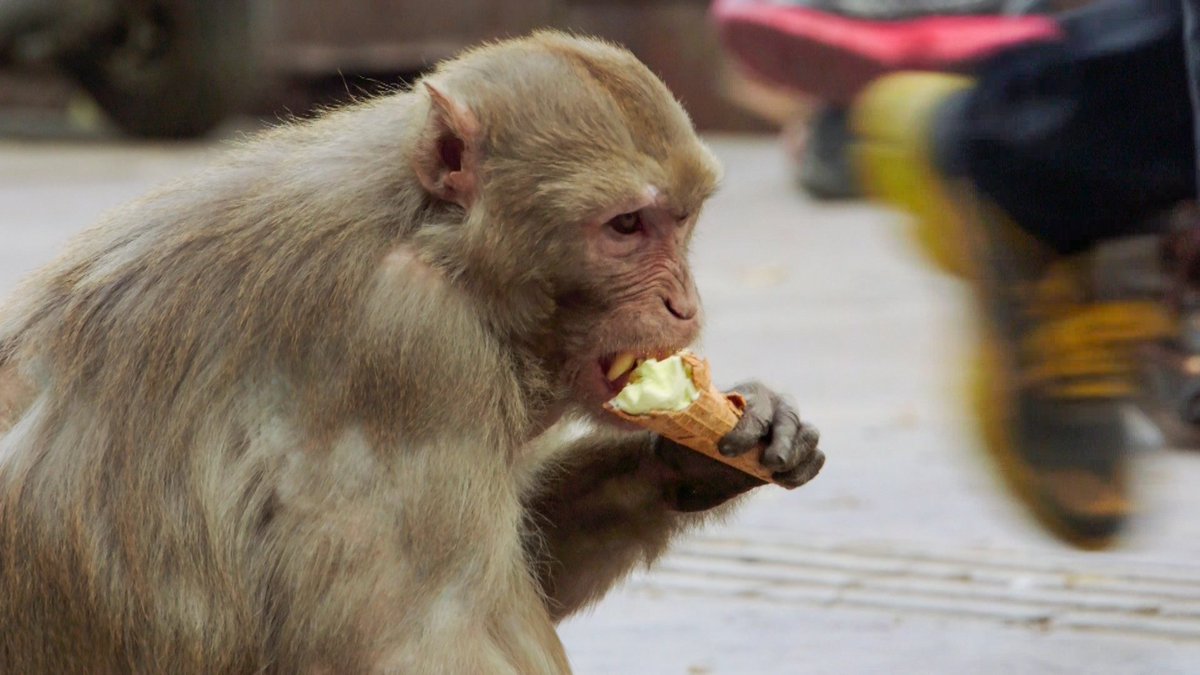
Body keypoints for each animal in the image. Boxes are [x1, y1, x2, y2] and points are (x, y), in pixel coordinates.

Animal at [0, 31, 824, 674]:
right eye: (626, 226)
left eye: (681, 221)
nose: (685, 305)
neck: (434, 237)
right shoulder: (409, 347)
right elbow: (413, 646)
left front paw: (704, 450)